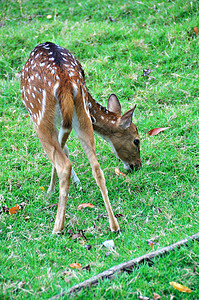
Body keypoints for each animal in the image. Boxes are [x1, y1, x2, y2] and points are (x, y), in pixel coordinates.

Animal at [20, 42, 141, 234]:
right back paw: (114, 225)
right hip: (81, 111)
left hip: (39, 114)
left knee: (63, 165)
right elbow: (65, 147)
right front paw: (74, 183)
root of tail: (64, 80)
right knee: (96, 167)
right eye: (136, 140)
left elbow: (62, 151)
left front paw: (50, 190)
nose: (137, 165)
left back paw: (57, 227)